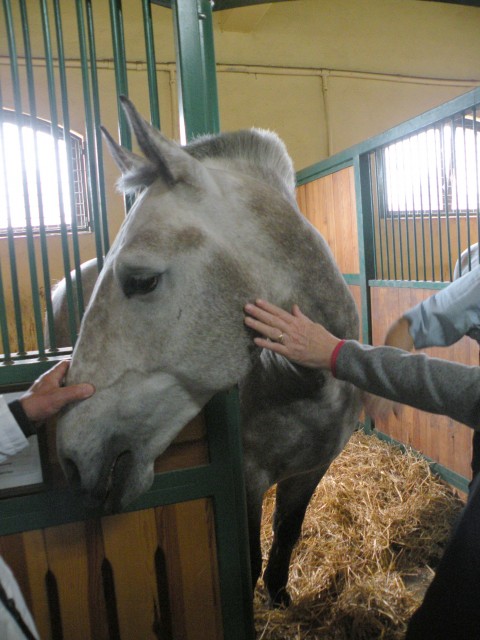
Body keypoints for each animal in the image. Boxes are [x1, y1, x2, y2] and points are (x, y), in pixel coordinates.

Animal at [56, 97, 362, 608]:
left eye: (142, 280)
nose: (71, 458)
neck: (304, 385)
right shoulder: (246, 480)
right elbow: (249, 560)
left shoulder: (312, 470)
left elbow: (287, 533)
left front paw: (280, 597)